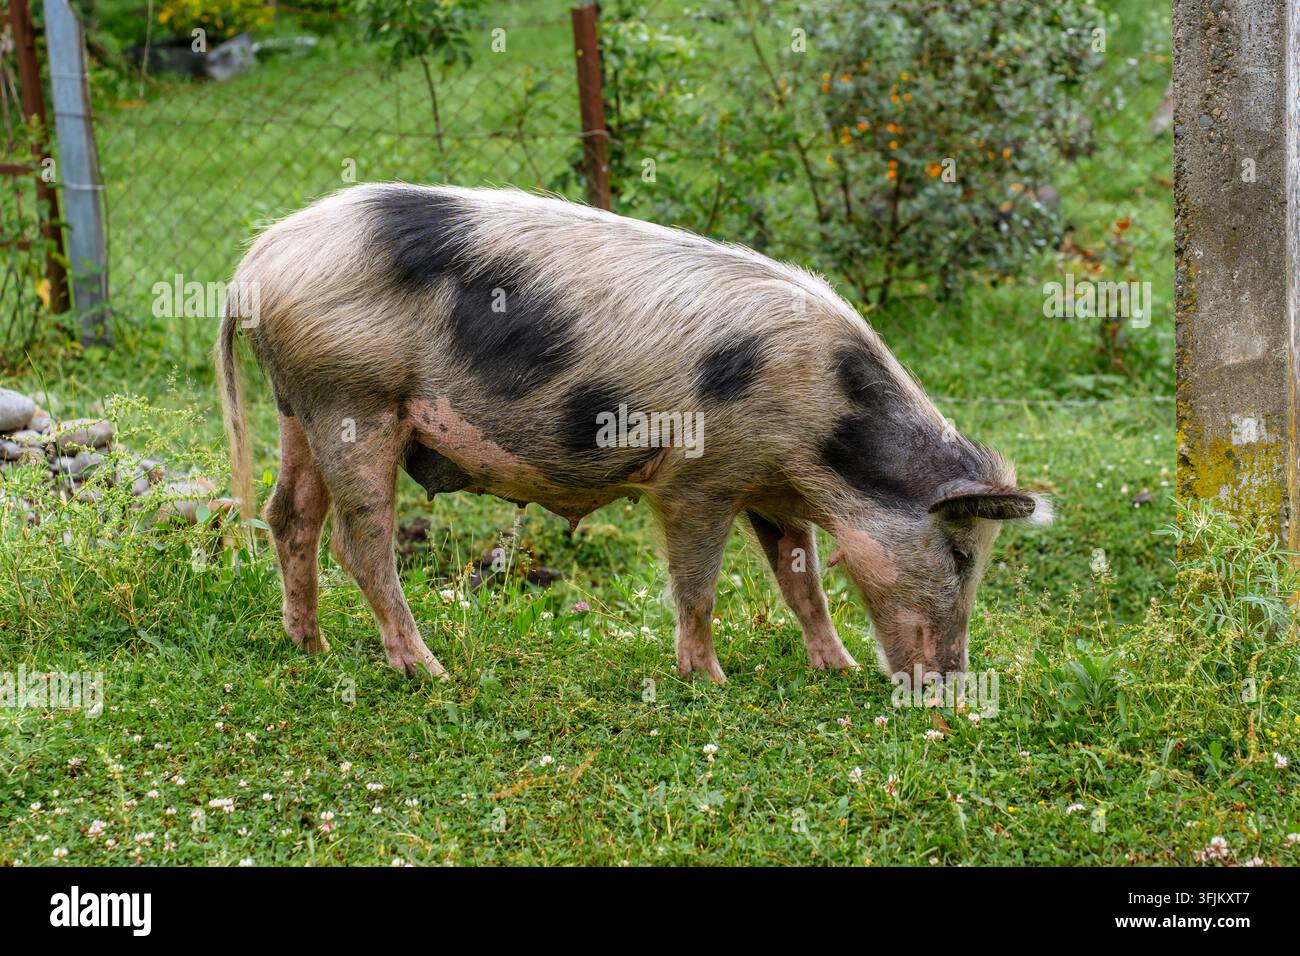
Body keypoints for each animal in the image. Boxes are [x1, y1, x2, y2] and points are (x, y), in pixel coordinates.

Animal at [216, 183, 1051, 683]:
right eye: (960, 553)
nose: (952, 683)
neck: (827, 440)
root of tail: (255, 261)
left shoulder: (772, 487)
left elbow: (803, 583)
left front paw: (837, 668)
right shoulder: (699, 478)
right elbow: (698, 584)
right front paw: (710, 680)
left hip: (299, 404)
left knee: (290, 515)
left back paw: (312, 646)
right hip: (353, 398)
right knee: (362, 541)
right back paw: (430, 669)